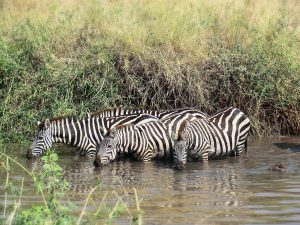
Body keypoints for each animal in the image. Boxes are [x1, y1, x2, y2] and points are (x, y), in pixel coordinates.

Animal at [27, 114, 159, 158]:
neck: (79, 134)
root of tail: (154, 117)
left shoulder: (91, 151)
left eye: (40, 138)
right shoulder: (81, 153)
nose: (27, 155)